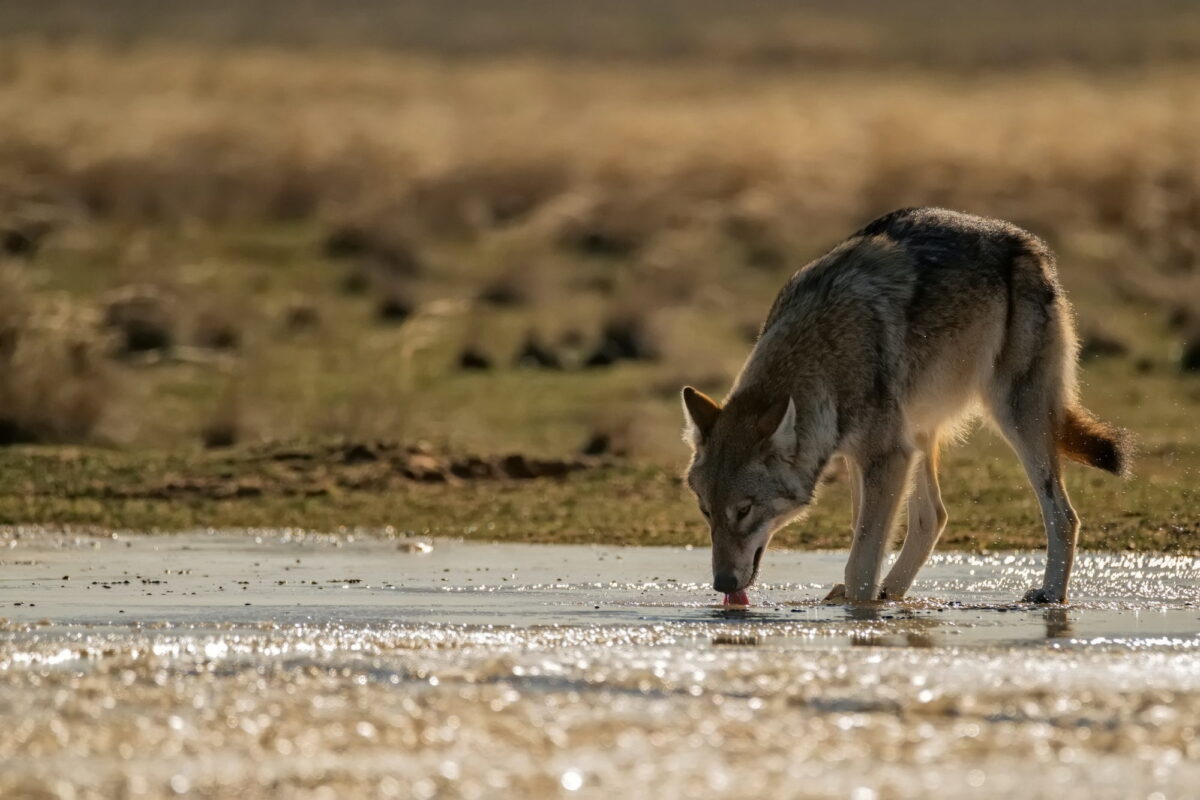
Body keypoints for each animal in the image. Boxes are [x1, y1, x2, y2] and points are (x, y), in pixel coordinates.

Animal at [682, 207, 1130, 604]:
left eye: (744, 510)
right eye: (706, 511)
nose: (722, 584)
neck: (827, 349)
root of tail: (1031, 245)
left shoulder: (886, 455)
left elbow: (861, 563)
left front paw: (861, 612)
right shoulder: (866, 455)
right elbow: (864, 541)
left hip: (1015, 418)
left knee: (1064, 516)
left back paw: (1050, 594)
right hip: (919, 432)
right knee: (933, 517)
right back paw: (893, 593)